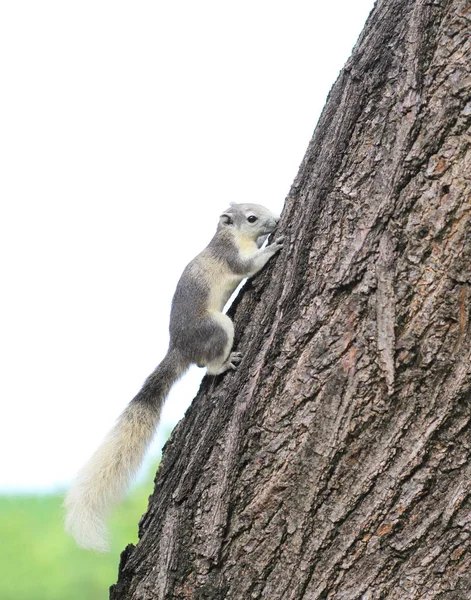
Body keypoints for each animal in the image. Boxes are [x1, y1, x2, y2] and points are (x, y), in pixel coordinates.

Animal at [62, 203, 284, 552]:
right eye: (251, 217)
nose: (274, 221)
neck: (229, 236)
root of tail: (180, 349)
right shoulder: (232, 257)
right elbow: (249, 265)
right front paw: (272, 247)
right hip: (217, 327)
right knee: (209, 365)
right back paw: (225, 363)